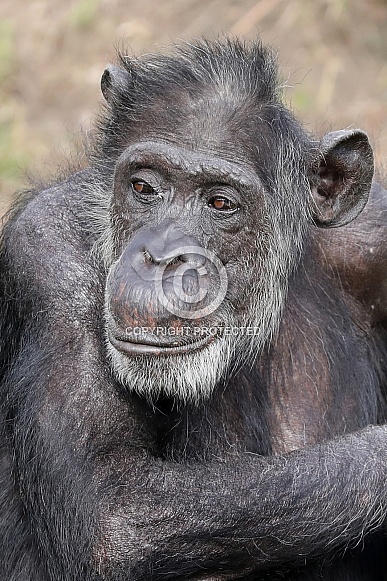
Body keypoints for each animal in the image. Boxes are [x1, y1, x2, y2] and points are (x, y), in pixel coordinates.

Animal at [0, 37, 387, 580]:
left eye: (220, 203)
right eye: (144, 188)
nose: (163, 255)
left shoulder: (375, 235)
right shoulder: (48, 251)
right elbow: (114, 514)